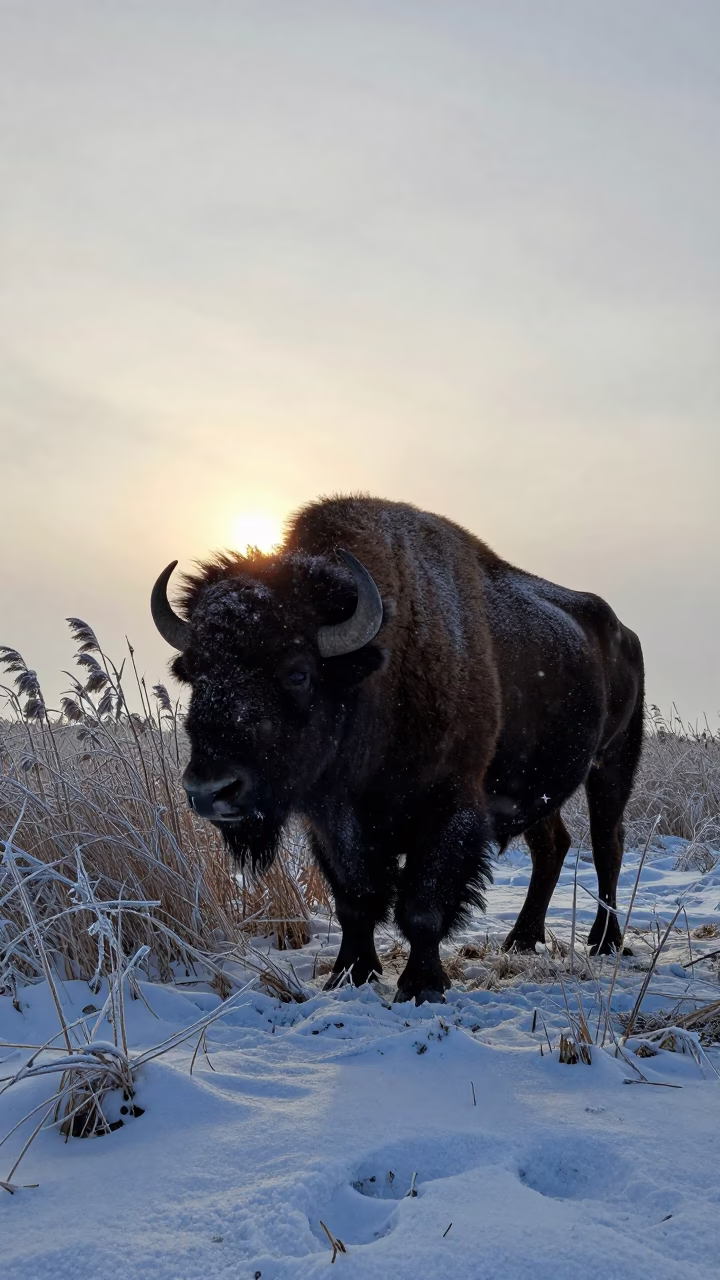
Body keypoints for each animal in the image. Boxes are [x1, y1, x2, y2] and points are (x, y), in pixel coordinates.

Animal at [151, 495, 644, 1004]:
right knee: (552, 845)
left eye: (298, 672)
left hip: (612, 764)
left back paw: (605, 941)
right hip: (541, 789)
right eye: (193, 672)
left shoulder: (449, 810)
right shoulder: (333, 823)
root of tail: (624, 633)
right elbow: (355, 900)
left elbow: (421, 906)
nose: (210, 791)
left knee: (607, 845)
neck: (378, 673)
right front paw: (350, 973)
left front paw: (421, 985)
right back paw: (522, 940)